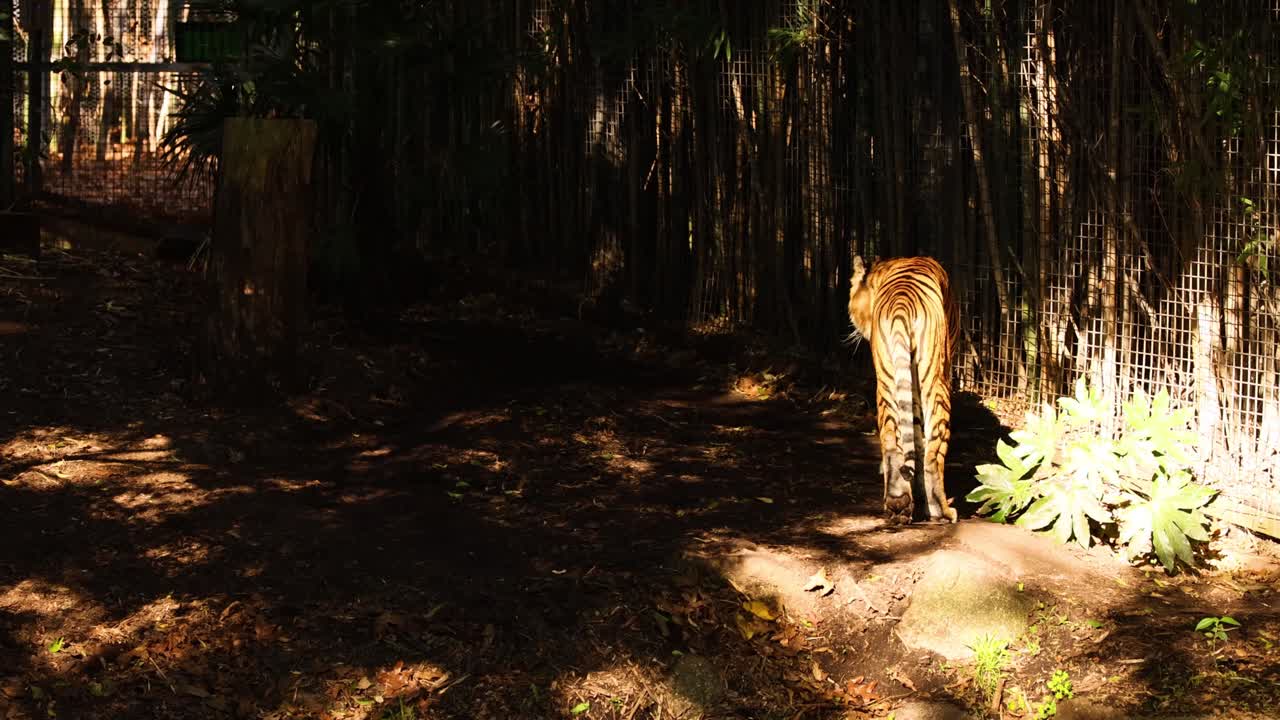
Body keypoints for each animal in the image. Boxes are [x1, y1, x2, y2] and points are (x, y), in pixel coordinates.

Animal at [846, 255, 960, 524]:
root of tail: (900, 304)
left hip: (886, 381)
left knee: (891, 442)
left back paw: (898, 503)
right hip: (936, 382)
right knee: (933, 453)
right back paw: (942, 511)